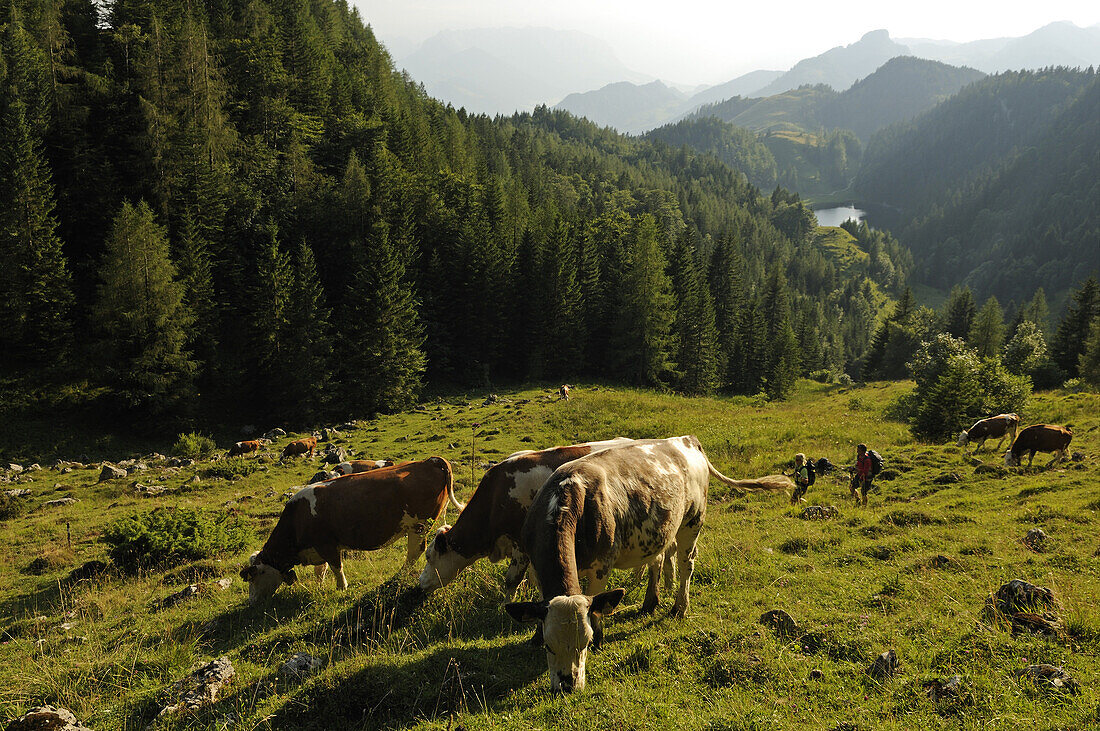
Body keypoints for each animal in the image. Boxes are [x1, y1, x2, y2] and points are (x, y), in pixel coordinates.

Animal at [238, 457, 462, 602]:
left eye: (254, 576)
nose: (252, 601)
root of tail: (429, 461)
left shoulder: (327, 544)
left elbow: (336, 567)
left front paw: (341, 587)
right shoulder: (318, 548)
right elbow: (321, 570)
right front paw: (320, 587)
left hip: (418, 525)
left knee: (414, 551)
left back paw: (399, 575)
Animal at [506, 435, 792, 694]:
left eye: (585, 643)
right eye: (548, 645)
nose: (568, 686)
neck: (565, 500)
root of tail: (686, 440)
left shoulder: (601, 568)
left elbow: (597, 607)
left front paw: (600, 636)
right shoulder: (535, 567)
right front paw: (534, 635)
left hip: (692, 522)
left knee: (686, 564)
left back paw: (679, 607)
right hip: (660, 529)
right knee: (657, 560)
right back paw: (650, 602)